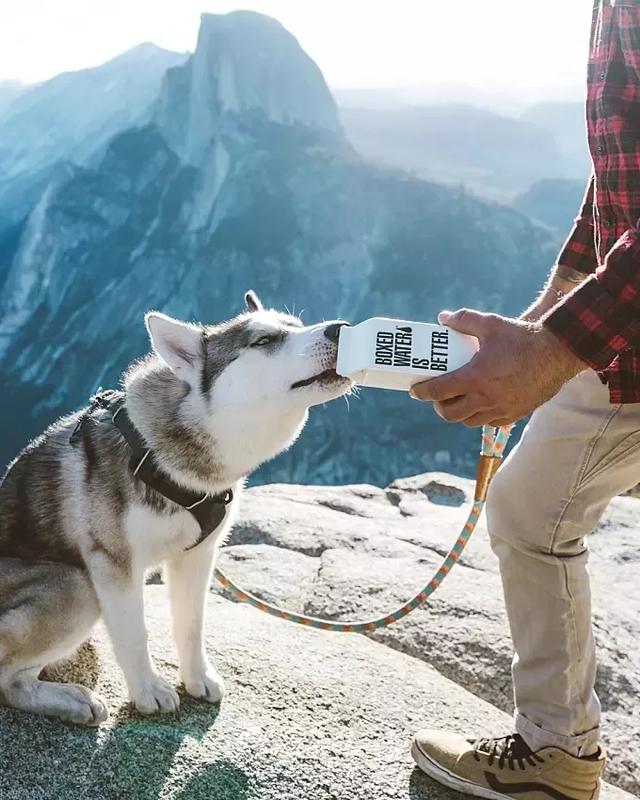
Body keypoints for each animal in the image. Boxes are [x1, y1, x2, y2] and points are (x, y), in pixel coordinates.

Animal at [0, 292, 350, 724]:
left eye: (296, 325)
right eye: (264, 340)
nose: (341, 329)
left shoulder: (198, 555)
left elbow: (191, 623)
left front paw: (197, 677)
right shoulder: (113, 565)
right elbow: (134, 633)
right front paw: (147, 689)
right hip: (77, 586)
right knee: (9, 681)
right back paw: (70, 700)